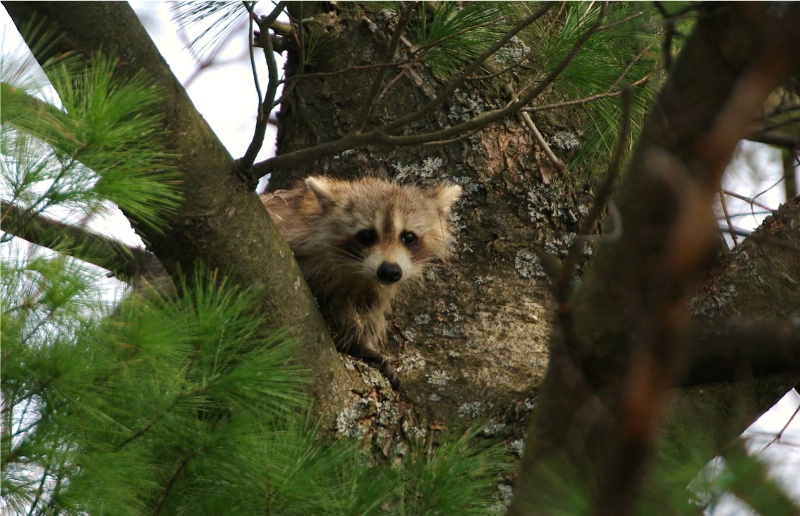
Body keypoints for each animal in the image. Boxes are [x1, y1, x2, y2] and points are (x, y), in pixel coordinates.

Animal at [262, 175, 462, 390]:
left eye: (408, 237)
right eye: (366, 235)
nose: (389, 271)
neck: (357, 272)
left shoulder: (371, 290)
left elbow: (363, 316)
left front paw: (361, 346)